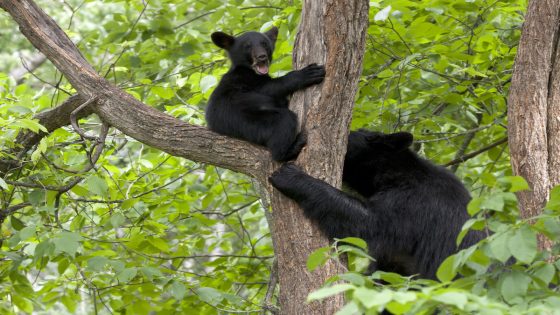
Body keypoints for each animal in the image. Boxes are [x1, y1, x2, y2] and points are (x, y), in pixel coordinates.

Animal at [206, 26, 324, 162]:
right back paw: (291, 148)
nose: (261, 56)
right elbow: (269, 88)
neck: (250, 71)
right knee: (283, 120)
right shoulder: (243, 81)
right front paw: (308, 73)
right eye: (247, 46)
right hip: (248, 123)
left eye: (264, 44)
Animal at [270, 130, 484, 278]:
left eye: (347, 135)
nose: (292, 146)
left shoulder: (413, 203)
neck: (395, 173)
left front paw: (289, 177)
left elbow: (370, 224)